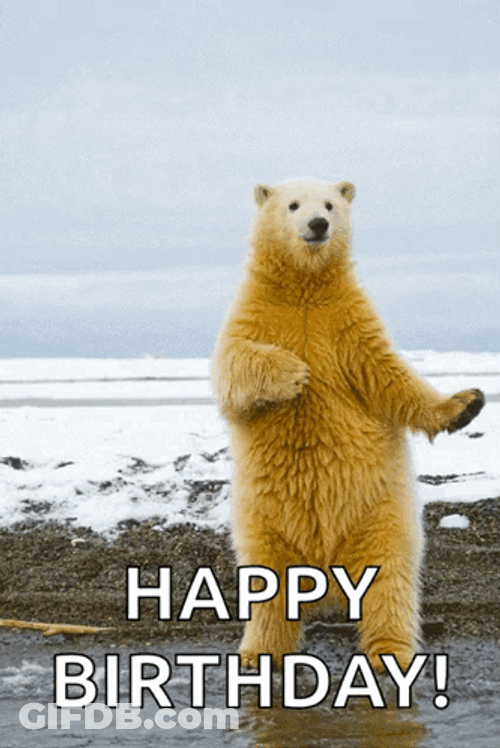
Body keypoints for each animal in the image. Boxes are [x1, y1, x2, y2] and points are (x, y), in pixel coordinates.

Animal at [210, 178, 485, 672]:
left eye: (330, 203)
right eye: (292, 205)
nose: (319, 224)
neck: (304, 288)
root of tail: (326, 577)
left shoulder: (349, 325)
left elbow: (390, 377)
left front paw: (466, 402)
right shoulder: (254, 314)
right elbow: (234, 365)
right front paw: (294, 373)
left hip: (379, 515)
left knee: (389, 580)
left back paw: (390, 653)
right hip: (264, 523)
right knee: (266, 585)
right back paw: (259, 652)